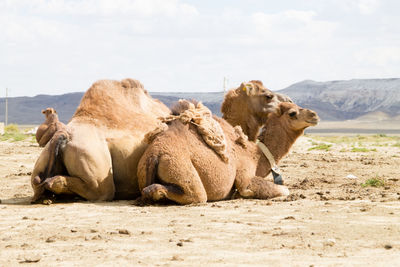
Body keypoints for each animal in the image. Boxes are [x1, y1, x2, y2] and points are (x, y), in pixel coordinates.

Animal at [138, 102, 318, 205]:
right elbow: (282, 190)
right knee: (195, 194)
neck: (255, 155)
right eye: (292, 113)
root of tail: (154, 155)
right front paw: (242, 194)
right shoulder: (245, 175)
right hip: (181, 168)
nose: (314, 115)